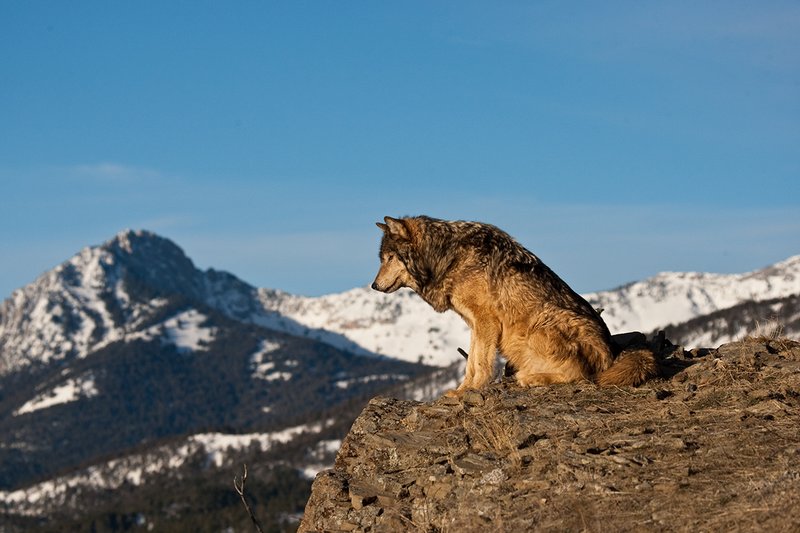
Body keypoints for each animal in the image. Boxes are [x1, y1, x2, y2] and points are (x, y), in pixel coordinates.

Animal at [371, 216, 658, 395]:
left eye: (388, 258)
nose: (373, 285)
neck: (448, 257)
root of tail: (612, 356)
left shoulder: (486, 321)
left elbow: (481, 365)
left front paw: (472, 391)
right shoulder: (475, 325)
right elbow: (471, 363)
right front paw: (462, 390)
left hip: (541, 324)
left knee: (581, 374)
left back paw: (531, 378)